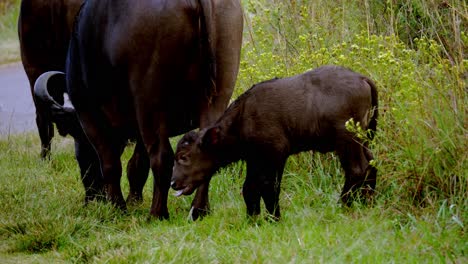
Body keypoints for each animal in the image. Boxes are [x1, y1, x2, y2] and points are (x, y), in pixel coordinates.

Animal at [34, 0, 243, 219]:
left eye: (80, 145)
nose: (91, 197)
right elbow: (137, 164)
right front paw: (133, 200)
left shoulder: (90, 116)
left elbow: (110, 163)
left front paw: (118, 207)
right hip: (217, 94)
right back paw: (199, 210)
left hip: (149, 101)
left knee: (161, 156)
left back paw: (157, 214)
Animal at [170, 65, 378, 219]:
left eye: (184, 157)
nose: (173, 183)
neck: (243, 118)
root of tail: (361, 78)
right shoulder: (254, 159)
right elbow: (249, 188)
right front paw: (252, 219)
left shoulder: (276, 155)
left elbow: (269, 187)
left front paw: (274, 218)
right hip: (362, 139)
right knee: (371, 163)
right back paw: (366, 201)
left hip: (347, 141)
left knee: (357, 169)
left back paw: (343, 204)